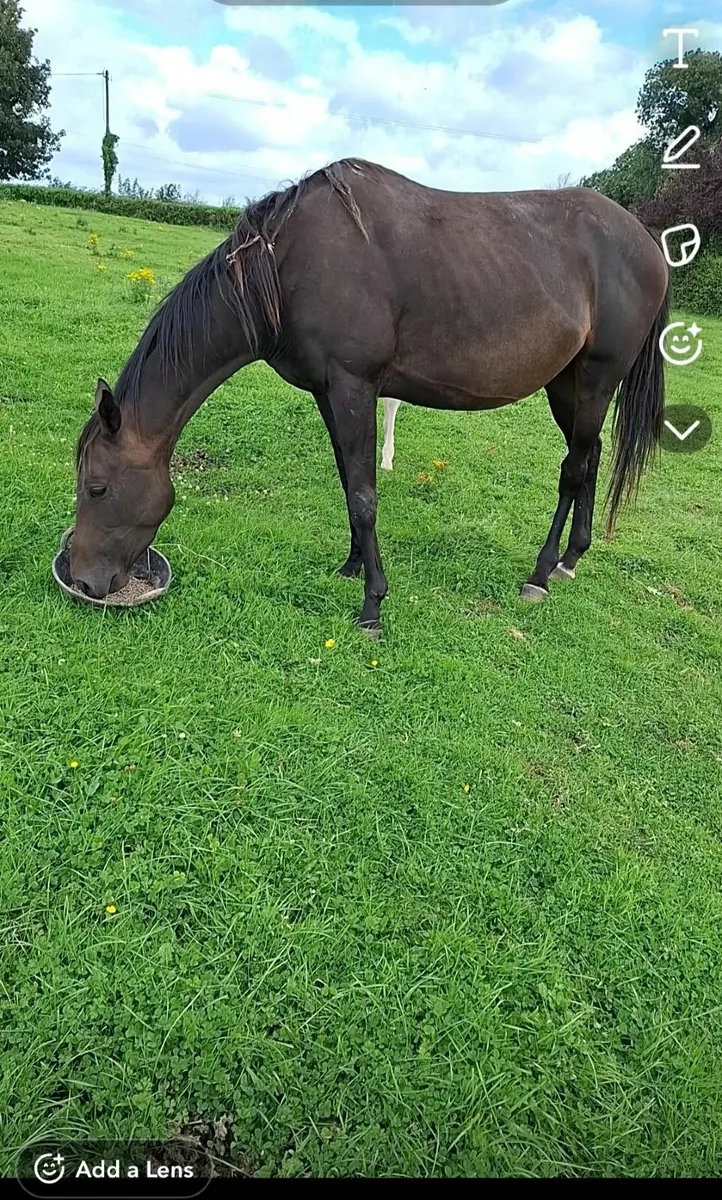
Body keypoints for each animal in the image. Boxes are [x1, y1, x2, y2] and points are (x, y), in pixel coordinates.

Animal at [72, 158, 670, 636]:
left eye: (97, 487)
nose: (83, 580)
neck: (288, 267)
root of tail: (650, 246)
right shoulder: (329, 393)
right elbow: (348, 482)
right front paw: (352, 566)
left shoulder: (354, 386)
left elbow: (363, 496)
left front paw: (373, 607)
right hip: (565, 386)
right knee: (588, 457)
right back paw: (572, 557)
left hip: (596, 380)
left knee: (574, 469)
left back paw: (541, 574)